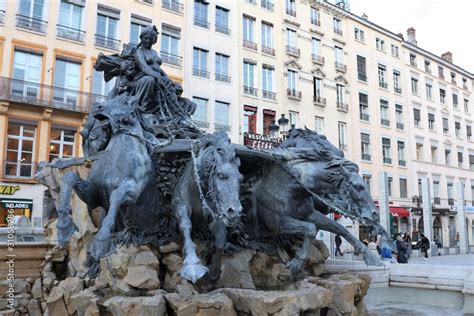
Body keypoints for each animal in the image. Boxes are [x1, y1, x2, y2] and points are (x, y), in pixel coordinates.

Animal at [171, 131, 244, 284]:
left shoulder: (214, 216)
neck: (201, 189)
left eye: (241, 179)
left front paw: (213, 274)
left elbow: (221, 239)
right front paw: (192, 266)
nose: (234, 212)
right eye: (220, 175)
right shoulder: (180, 207)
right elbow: (186, 225)